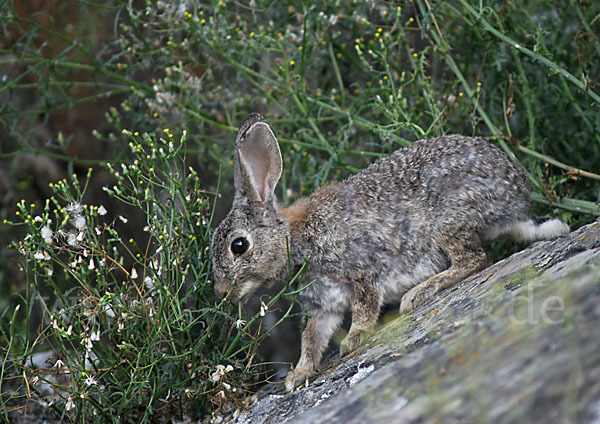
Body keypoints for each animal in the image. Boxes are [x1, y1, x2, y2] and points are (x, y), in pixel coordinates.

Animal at [210, 112, 568, 390]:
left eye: (238, 246)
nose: (222, 292)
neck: (297, 238)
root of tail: (516, 193)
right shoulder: (322, 305)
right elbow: (311, 340)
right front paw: (297, 376)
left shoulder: (360, 270)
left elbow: (365, 307)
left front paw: (354, 339)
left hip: (449, 221)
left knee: (475, 259)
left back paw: (418, 294)